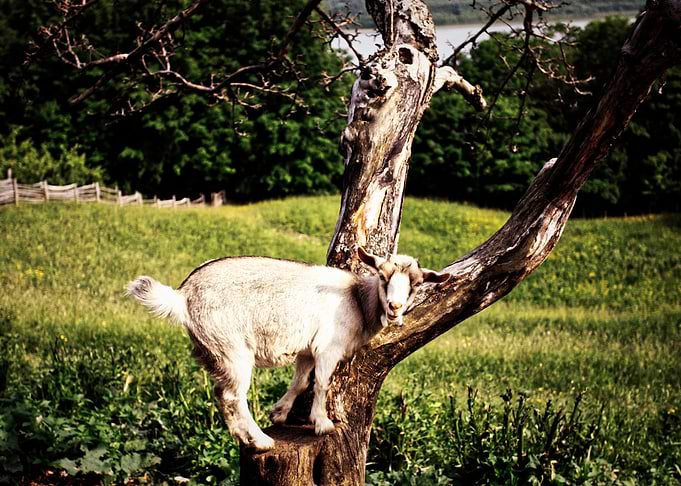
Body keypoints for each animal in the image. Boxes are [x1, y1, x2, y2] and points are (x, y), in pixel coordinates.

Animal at [126, 247, 450, 450]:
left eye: (416, 284)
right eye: (383, 277)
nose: (395, 307)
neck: (357, 299)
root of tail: (181, 297)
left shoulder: (307, 350)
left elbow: (301, 381)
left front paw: (279, 413)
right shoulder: (328, 348)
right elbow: (322, 383)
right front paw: (322, 423)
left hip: (215, 350)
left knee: (220, 393)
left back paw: (241, 437)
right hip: (231, 347)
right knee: (233, 396)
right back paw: (259, 441)